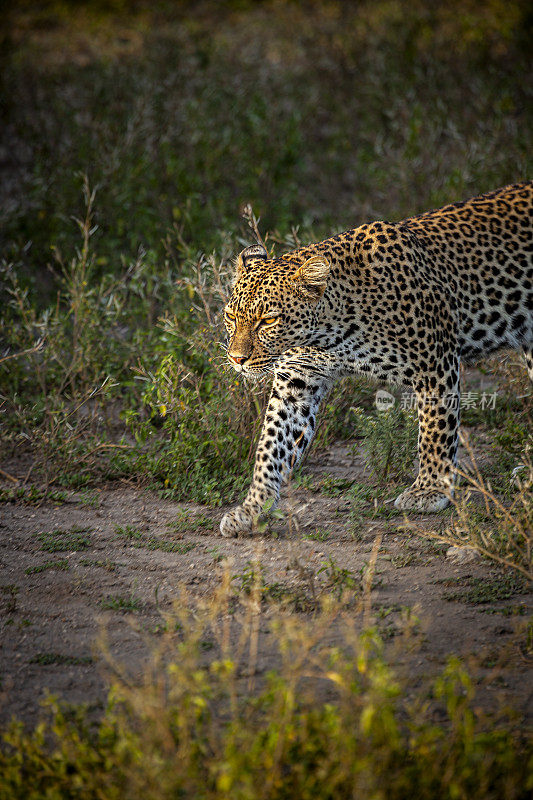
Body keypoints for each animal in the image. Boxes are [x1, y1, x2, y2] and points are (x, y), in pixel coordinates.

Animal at [218, 183, 528, 536]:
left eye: (268, 320)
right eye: (231, 316)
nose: (237, 359)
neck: (330, 334)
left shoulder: (435, 363)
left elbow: (435, 429)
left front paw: (430, 489)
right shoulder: (295, 383)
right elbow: (271, 445)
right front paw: (252, 508)